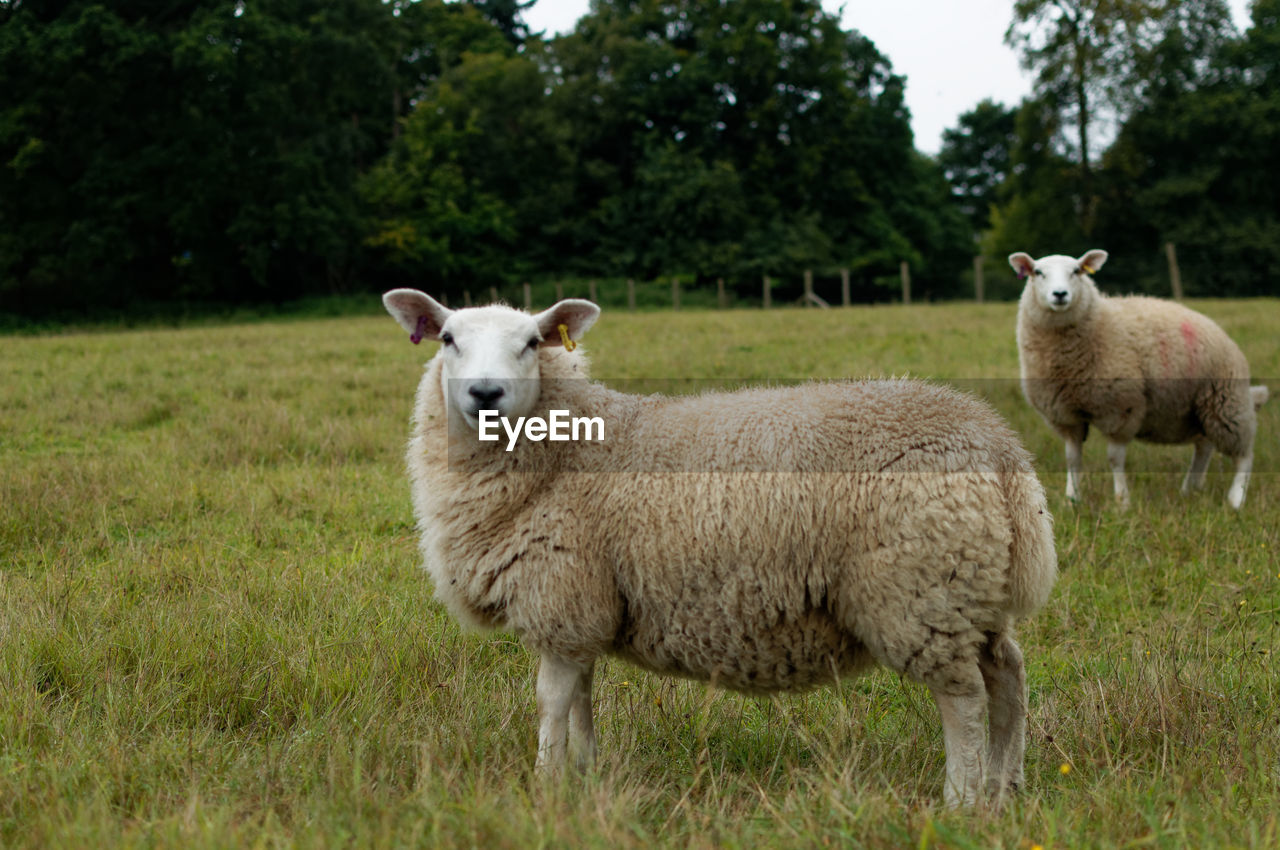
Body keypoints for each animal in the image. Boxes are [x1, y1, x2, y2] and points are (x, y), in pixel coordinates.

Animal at [381, 289, 1059, 809]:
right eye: (447, 339)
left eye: (530, 343)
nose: (485, 393)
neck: (567, 450)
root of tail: (997, 444)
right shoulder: (582, 609)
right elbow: (580, 703)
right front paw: (584, 779)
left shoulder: (560, 595)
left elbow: (551, 704)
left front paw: (547, 790)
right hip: (970, 585)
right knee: (1009, 677)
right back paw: (1006, 788)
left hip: (919, 590)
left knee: (965, 699)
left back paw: (962, 800)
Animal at [1008, 249, 1269, 506]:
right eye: (1038, 272)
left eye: (1076, 271)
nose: (1060, 294)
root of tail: (1222, 333)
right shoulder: (1066, 415)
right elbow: (1072, 458)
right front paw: (1073, 500)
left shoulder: (1120, 408)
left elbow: (1114, 458)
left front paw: (1122, 501)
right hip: (1200, 408)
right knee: (1204, 446)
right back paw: (1189, 489)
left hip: (1227, 402)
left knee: (1244, 454)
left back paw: (1236, 499)